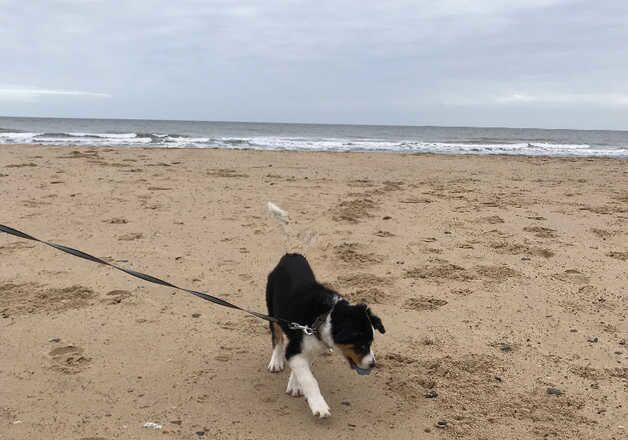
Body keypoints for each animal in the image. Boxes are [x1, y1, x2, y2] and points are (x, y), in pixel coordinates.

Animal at [264, 253, 386, 418]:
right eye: (361, 345)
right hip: (273, 311)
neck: (325, 317)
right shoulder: (295, 346)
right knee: (276, 336)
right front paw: (319, 406)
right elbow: (309, 378)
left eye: (370, 343)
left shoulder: (312, 346)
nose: (373, 364)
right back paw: (276, 361)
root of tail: (290, 255)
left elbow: (303, 367)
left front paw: (295, 385)